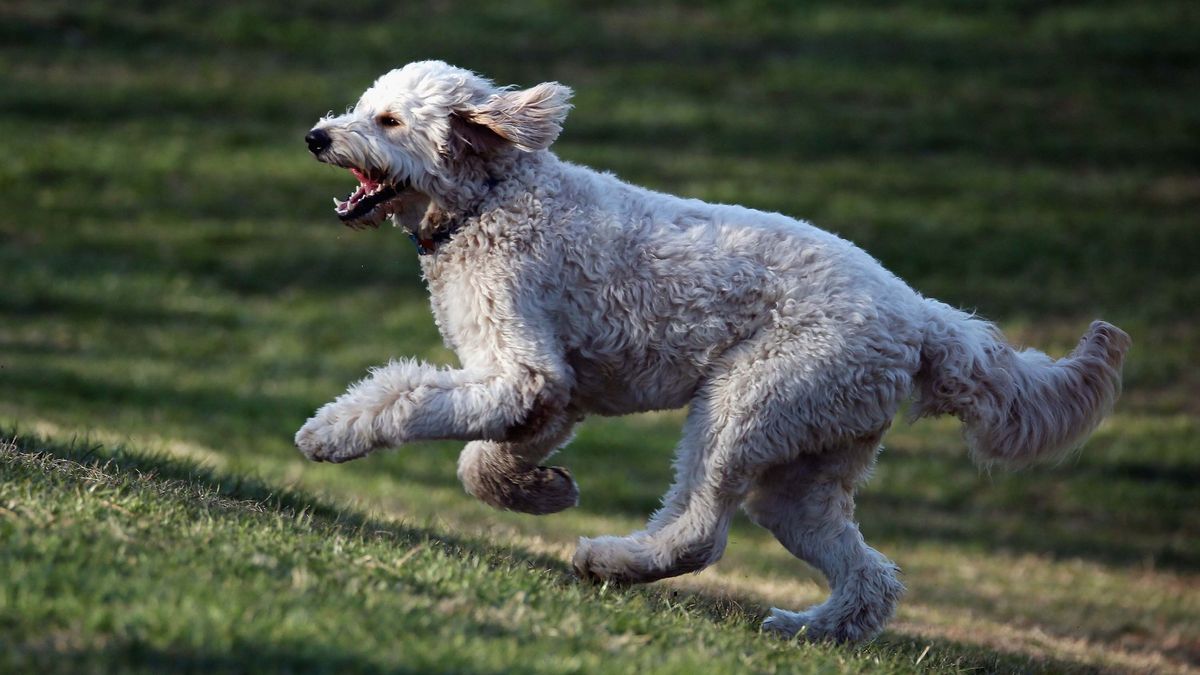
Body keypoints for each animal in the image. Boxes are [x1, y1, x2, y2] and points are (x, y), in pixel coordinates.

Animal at [295, 61, 1128, 638]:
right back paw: (808, 630)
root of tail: (921, 318)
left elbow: (410, 396)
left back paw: (612, 560)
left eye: (388, 120)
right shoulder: (553, 392)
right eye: (364, 108)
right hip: (805, 466)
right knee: (869, 577)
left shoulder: (523, 369)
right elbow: (483, 460)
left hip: (745, 406)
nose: (317, 135)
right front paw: (539, 488)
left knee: (699, 530)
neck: (494, 198)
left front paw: (332, 432)